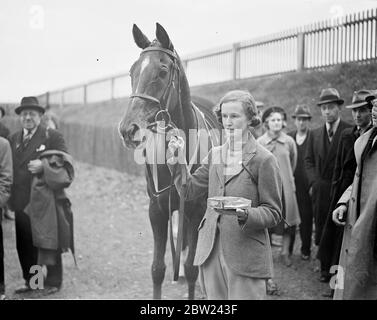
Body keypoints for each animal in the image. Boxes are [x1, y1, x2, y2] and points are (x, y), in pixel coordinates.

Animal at [118, 23, 220, 300]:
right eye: (132, 71)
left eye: (163, 71)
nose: (128, 129)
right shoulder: (157, 210)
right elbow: (157, 269)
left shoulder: (195, 209)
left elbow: (192, 267)